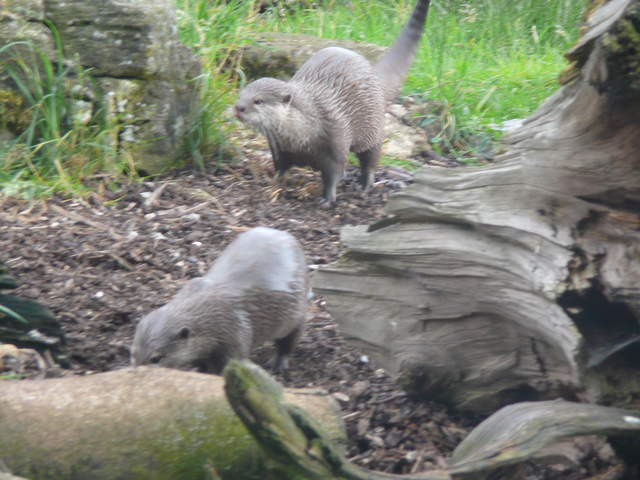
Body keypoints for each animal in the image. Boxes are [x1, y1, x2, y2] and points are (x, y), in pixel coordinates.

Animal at [131, 227, 308, 374]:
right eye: (132, 353)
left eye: (155, 359)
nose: (135, 373)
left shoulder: (236, 335)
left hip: (295, 314)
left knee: (290, 338)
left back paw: (278, 363)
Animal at [235, 0, 431, 206]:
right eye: (241, 95)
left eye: (258, 101)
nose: (238, 108)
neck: (306, 130)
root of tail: (374, 76)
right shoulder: (280, 148)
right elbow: (281, 166)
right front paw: (273, 181)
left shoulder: (336, 140)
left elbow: (334, 173)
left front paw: (328, 198)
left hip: (372, 127)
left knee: (371, 157)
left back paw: (366, 184)